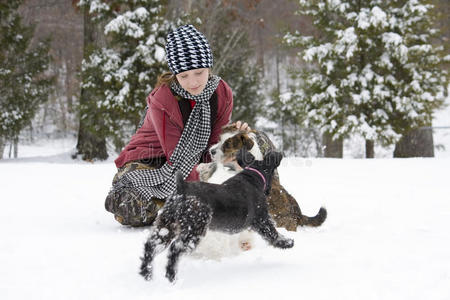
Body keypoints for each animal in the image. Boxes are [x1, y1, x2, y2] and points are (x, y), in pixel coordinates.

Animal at [142, 149, 296, 282]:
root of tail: (181, 190)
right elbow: (273, 234)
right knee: (175, 249)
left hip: (167, 225)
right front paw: (287, 242)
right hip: (193, 230)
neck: (253, 177)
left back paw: (146, 274)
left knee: (151, 246)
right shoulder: (262, 220)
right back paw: (171, 277)